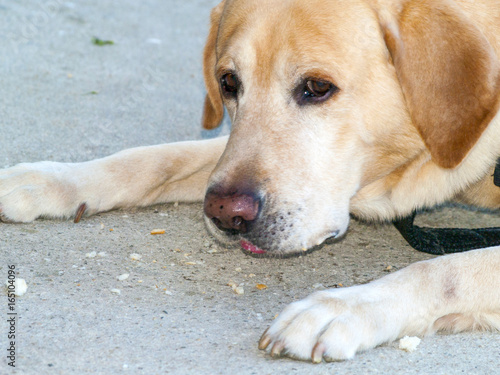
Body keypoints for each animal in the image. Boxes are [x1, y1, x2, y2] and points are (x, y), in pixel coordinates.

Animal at [0, 0, 500, 364]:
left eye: (318, 87)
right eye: (228, 82)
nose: (226, 214)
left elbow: (444, 270)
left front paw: (339, 307)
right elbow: (159, 156)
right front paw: (51, 179)